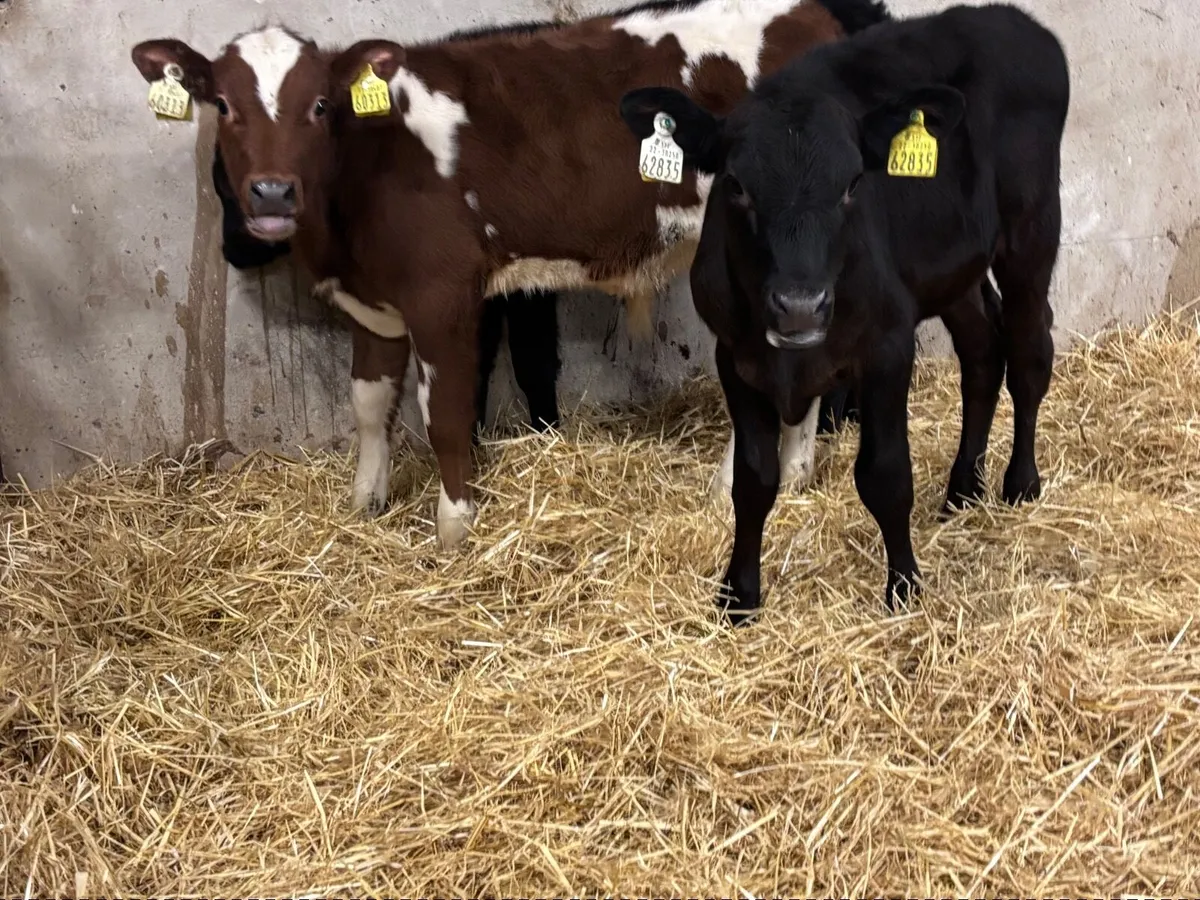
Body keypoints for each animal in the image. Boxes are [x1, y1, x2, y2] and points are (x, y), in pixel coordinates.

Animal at [130, 0, 890, 549]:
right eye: (223, 105)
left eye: (320, 105)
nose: (271, 194)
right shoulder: (375, 304)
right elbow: (370, 404)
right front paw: (365, 502)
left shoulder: (442, 293)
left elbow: (446, 415)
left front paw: (454, 528)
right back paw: (796, 472)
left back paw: (736, 481)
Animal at [619, 2, 1069, 623]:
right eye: (736, 185)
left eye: (854, 183)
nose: (800, 305)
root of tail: (1015, 20)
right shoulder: (735, 355)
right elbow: (753, 481)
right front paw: (739, 595)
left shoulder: (887, 345)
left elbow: (885, 474)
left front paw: (903, 588)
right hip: (952, 269)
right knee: (983, 354)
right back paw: (962, 488)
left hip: (1031, 230)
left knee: (1028, 352)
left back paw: (1020, 482)